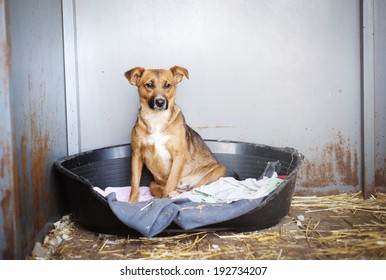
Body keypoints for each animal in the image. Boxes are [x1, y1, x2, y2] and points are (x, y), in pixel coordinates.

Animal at [123, 65, 226, 201]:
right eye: (149, 85)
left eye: (168, 85)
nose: (160, 102)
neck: (157, 119)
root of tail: (183, 185)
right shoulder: (137, 154)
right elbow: (134, 184)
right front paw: (131, 202)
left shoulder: (178, 155)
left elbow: (170, 182)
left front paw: (165, 200)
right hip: (152, 184)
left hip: (219, 169)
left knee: (194, 190)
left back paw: (176, 194)